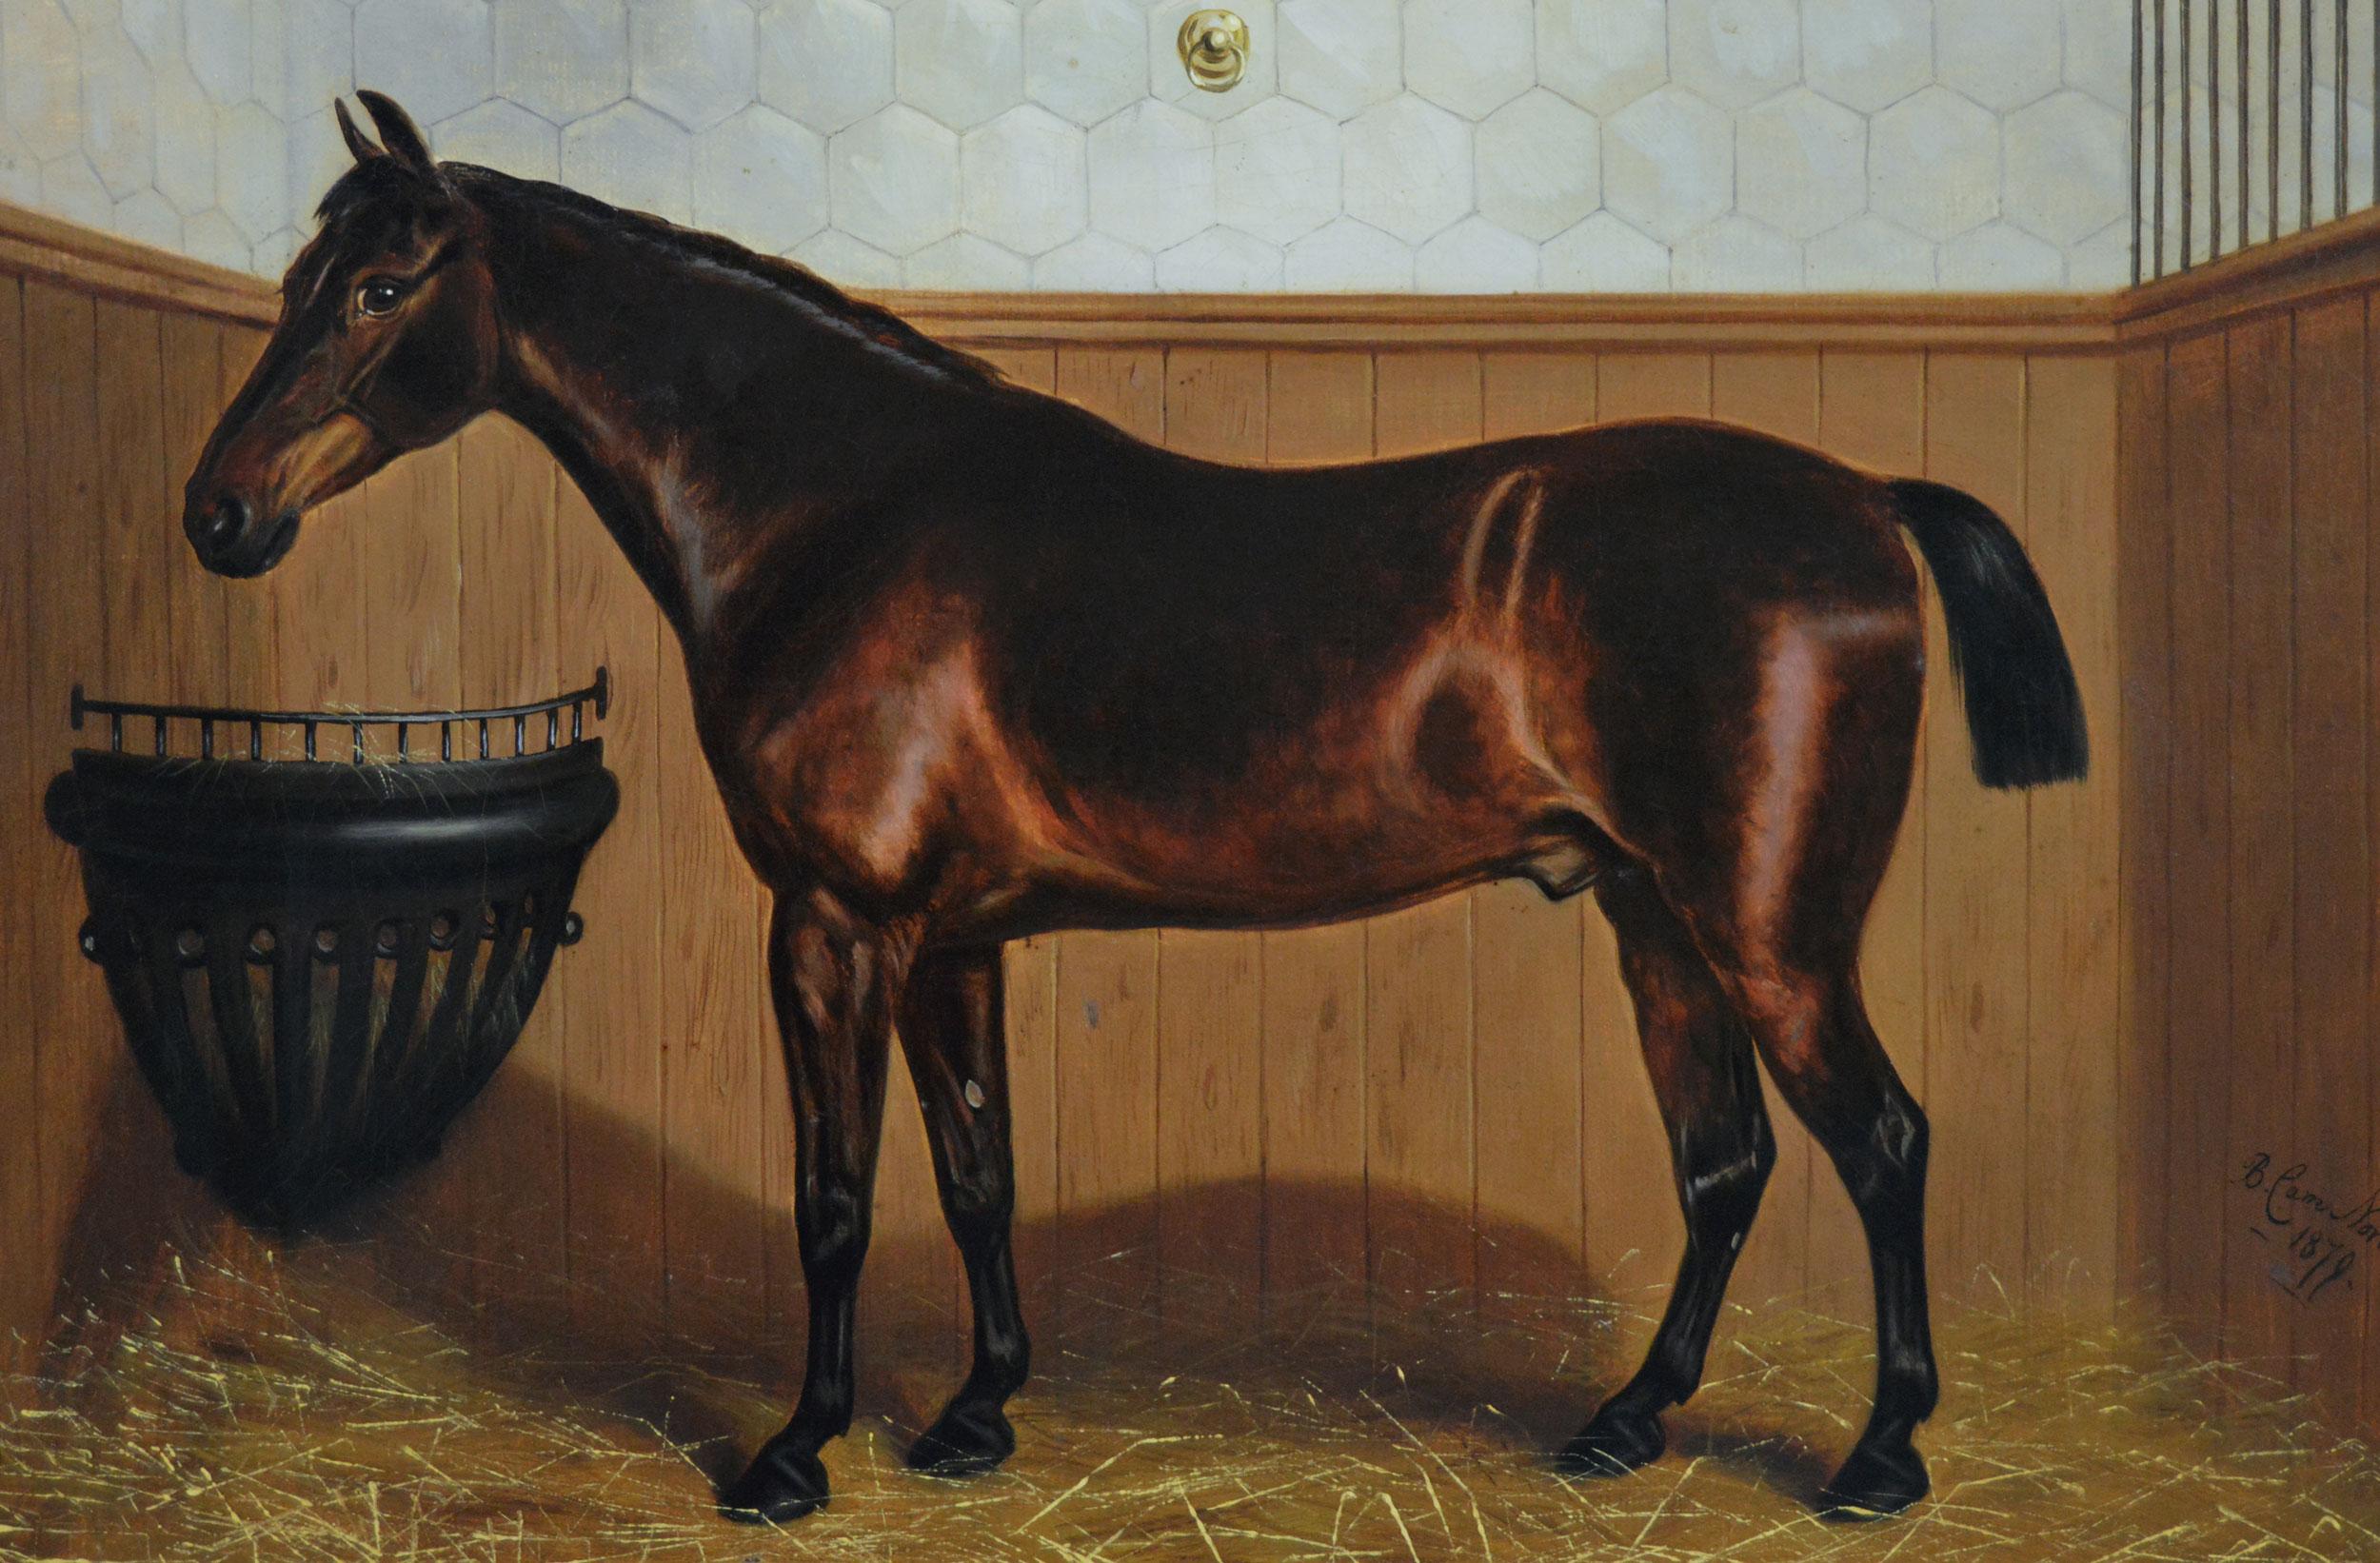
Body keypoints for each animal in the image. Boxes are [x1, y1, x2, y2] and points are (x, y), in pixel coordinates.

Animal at [182, 93, 2088, 1526]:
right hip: (1656, 923)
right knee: (1726, 1162)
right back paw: (1625, 1425)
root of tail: (1864, 497)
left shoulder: (834, 926)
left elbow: (836, 1192)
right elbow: (975, 1172)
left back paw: (1879, 1457)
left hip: (1770, 934)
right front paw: (972, 1417)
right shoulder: (952, 940)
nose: (219, 513)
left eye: (382, 286)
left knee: (1881, 1140)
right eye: (297, 273)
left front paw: (795, 1453)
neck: (837, 511)